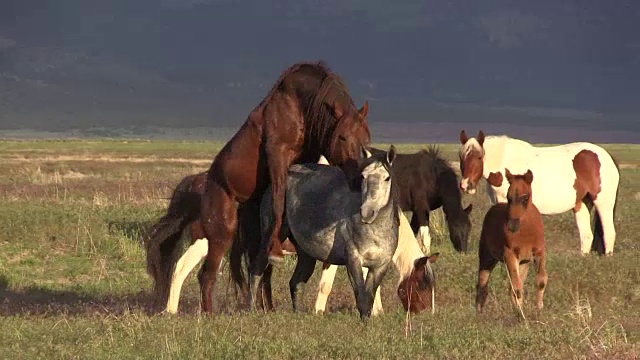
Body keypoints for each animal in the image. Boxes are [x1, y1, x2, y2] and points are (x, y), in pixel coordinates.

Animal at [198, 61, 372, 312]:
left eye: (366, 138)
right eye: (342, 137)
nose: (360, 178)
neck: (299, 106)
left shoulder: (307, 157)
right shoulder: (277, 154)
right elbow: (279, 201)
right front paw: (279, 249)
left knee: (259, 270)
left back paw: (266, 307)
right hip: (222, 231)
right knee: (208, 274)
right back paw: (209, 313)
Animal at [250, 145, 400, 320]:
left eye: (387, 178)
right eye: (363, 176)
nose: (367, 212)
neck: (375, 231)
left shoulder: (380, 266)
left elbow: (369, 297)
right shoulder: (354, 260)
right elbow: (361, 297)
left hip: (306, 254)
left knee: (296, 282)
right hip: (271, 238)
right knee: (256, 270)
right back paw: (250, 309)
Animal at [460, 131, 620, 255]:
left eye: (479, 157)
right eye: (461, 157)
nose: (466, 185)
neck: (506, 164)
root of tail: (607, 157)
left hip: (603, 204)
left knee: (609, 233)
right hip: (581, 204)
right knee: (586, 235)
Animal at [476, 169, 552, 312]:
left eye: (526, 197)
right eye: (508, 197)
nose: (512, 225)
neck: (526, 231)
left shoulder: (539, 252)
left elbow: (541, 280)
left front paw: (539, 308)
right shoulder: (509, 254)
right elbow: (517, 288)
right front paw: (520, 314)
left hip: (523, 263)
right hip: (487, 257)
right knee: (482, 283)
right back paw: (479, 311)